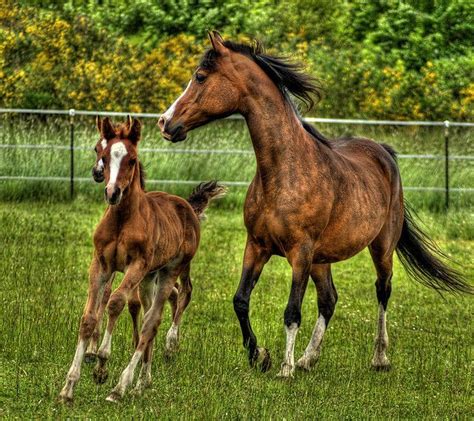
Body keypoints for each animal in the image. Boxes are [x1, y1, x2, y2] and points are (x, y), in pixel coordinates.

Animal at [59, 115, 226, 400]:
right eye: (101, 153)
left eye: (132, 159)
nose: (112, 192)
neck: (121, 220)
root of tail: (187, 207)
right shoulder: (101, 264)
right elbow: (89, 317)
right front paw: (69, 386)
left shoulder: (136, 265)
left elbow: (116, 302)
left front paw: (102, 364)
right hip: (151, 276)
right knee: (151, 316)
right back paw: (142, 381)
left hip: (170, 270)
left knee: (156, 318)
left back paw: (123, 385)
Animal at [159, 32, 470, 378]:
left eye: (200, 76)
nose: (165, 123)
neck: (284, 172)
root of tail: (384, 152)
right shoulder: (256, 246)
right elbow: (240, 300)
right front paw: (260, 356)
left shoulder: (300, 253)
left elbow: (292, 312)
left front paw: (285, 368)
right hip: (322, 260)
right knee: (329, 299)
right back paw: (309, 358)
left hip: (380, 247)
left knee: (382, 291)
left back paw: (378, 358)